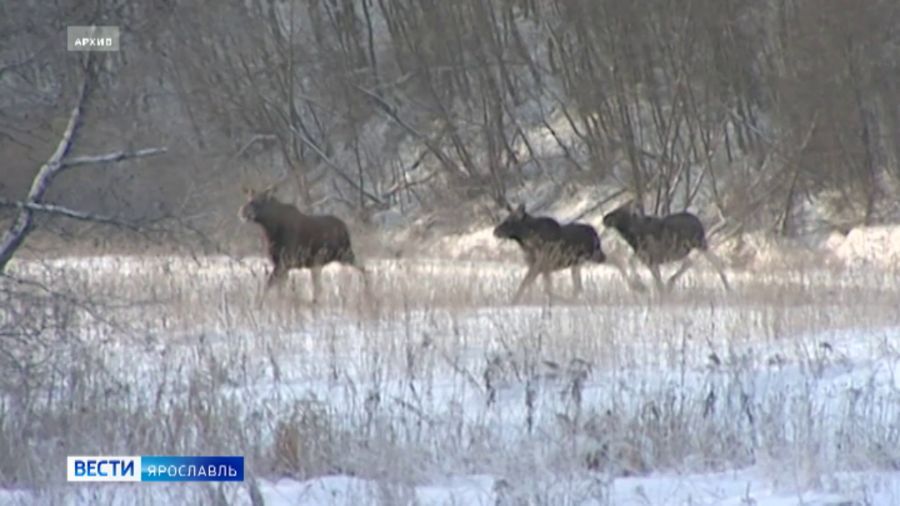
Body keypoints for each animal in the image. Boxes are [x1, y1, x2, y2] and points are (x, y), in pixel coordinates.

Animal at [239, 186, 370, 304]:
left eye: (257, 201)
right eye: (248, 199)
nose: (242, 212)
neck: (270, 228)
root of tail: (345, 227)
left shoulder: (285, 262)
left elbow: (269, 284)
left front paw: (259, 304)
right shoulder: (279, 262)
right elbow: (279, 287)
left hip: (344, 253)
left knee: (362, 269)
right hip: (319, 263)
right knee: (320, 285)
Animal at [600, 201, 728, 292]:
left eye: (620, 211)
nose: (605, 218)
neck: (631, 236)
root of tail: (700, 223)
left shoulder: (650, 258)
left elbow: (652, 276)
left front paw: (640, 285)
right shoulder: (648, 259)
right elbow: (632, 262)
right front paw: (640, 285)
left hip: (699, 244)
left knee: (710, 262)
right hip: (690, 248)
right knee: (694, 262)